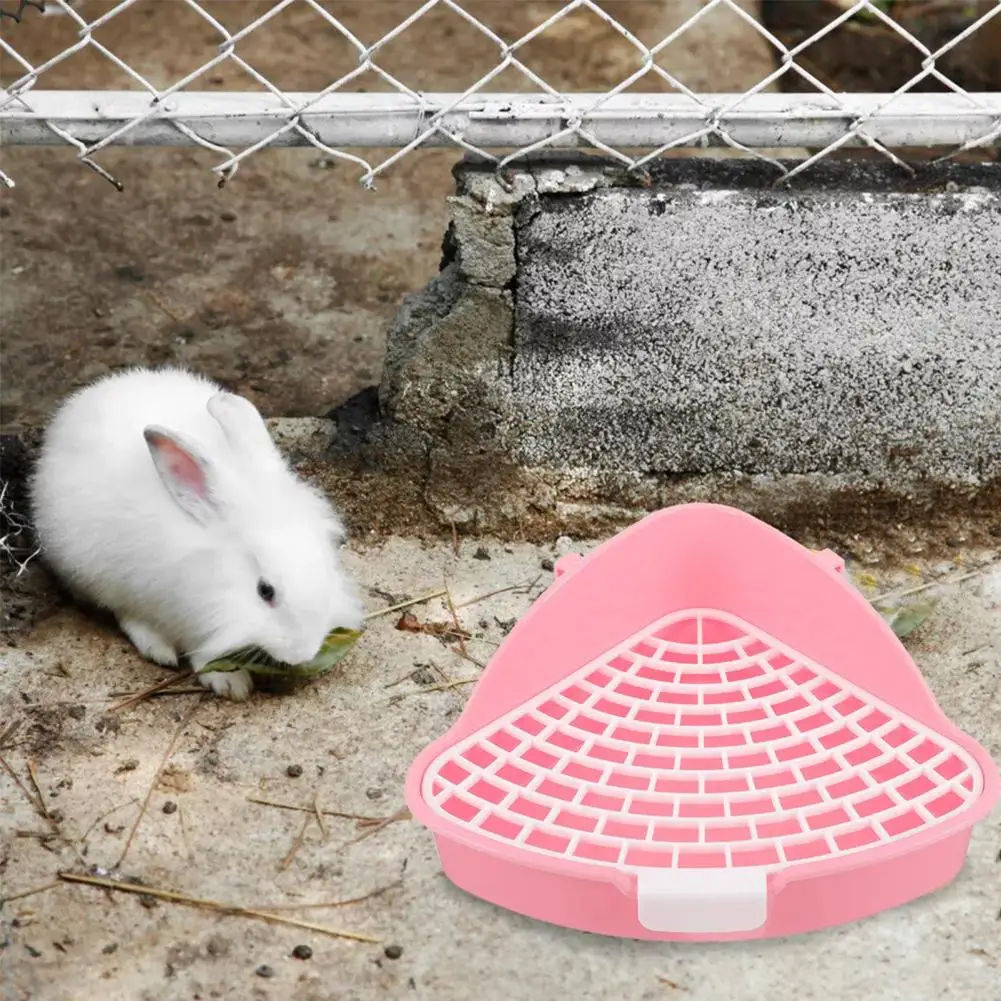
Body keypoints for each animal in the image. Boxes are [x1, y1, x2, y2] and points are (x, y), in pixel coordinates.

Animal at [29, 366, 363, 700]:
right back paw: (158, 648)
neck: (215, 573)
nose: (302, 653)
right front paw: (230, 683)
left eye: (326, 567)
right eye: (264, 591)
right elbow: (202, 650)